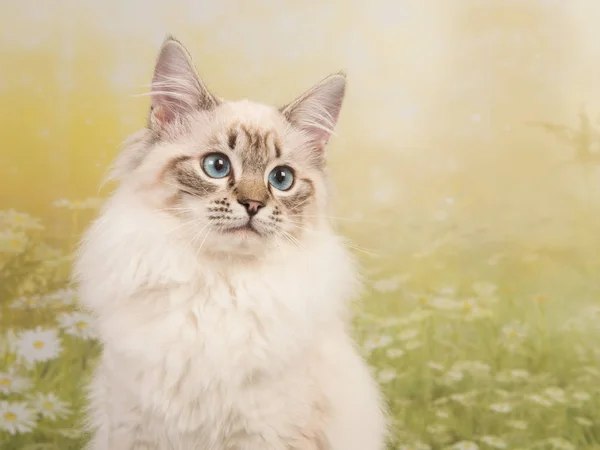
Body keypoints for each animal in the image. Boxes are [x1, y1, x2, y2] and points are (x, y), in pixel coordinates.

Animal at [75, 36, 386, 450]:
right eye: (217, 166)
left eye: (281, 178)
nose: (253, 205)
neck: (220, 282)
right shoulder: (133, 428)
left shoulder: (265, 434)